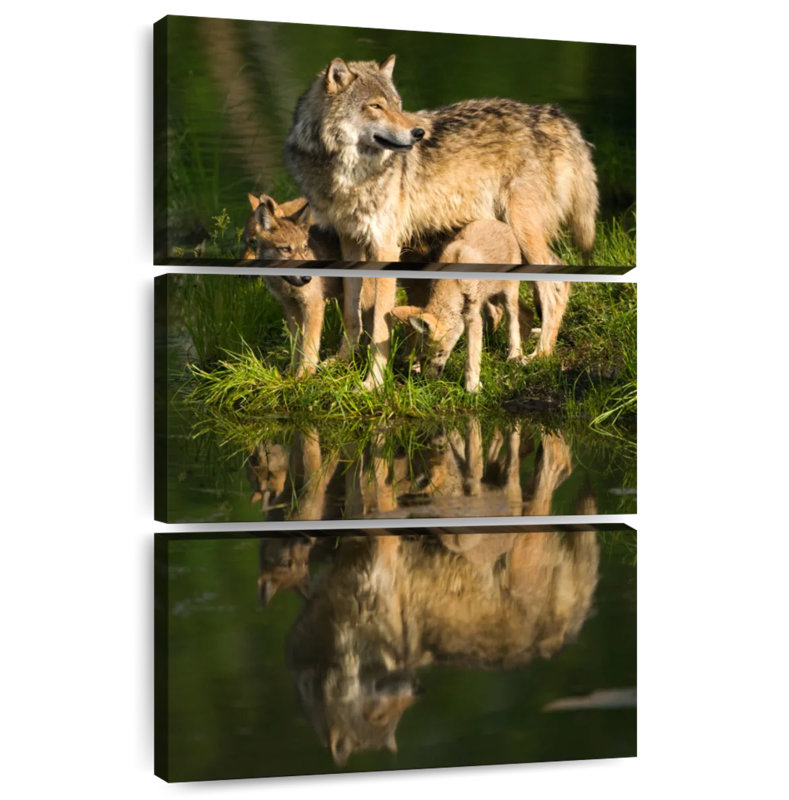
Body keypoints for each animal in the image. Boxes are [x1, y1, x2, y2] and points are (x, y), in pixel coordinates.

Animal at [284, 55, 598, 269]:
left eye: (397, 105)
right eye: (376, 106)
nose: (418, 133)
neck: (346, 175)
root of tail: (553, 115)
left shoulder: (386, 243)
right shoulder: (349, 240)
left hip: (524, 230)